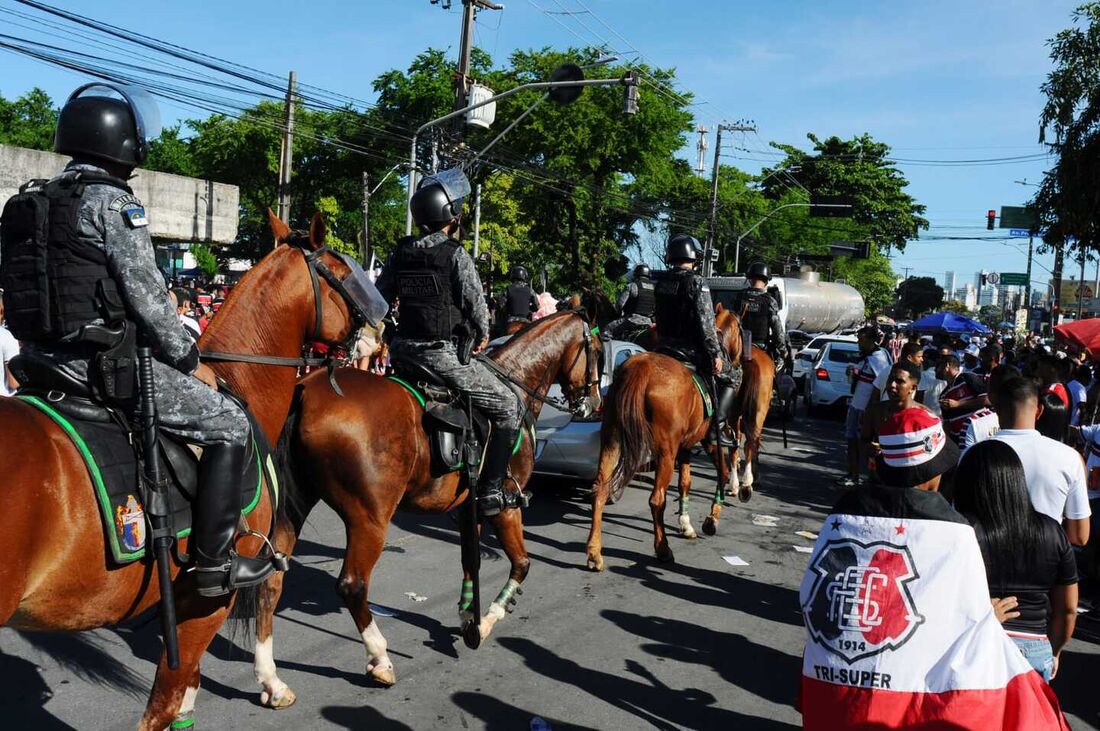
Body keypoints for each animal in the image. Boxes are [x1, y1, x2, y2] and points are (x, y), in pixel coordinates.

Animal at [246, 307, 602, 703]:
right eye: (598, 351)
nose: (594, 404)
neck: (516, 382)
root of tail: (307, 391)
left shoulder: (468, 509)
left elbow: (470, 561)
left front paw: (468, 614)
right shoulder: (505, 505)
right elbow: (522, 564)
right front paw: (485, 621)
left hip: (293, 508)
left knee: (271, 583)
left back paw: (271, 681)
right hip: (370, 519)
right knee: (352, 585)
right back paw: (380, 659)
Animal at [580, 305, 743, 571]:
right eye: (741, 329)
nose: (738, 360)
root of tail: (641, 368)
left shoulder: (685, 447)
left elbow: (685, 483)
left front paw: (686, 525)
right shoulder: (709, 442)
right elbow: (724, 472)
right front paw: (711, 519)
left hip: (612, 441)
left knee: (600, 490)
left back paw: (594, 553)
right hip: (665, 453)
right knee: (657, 499)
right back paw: (663, 549)